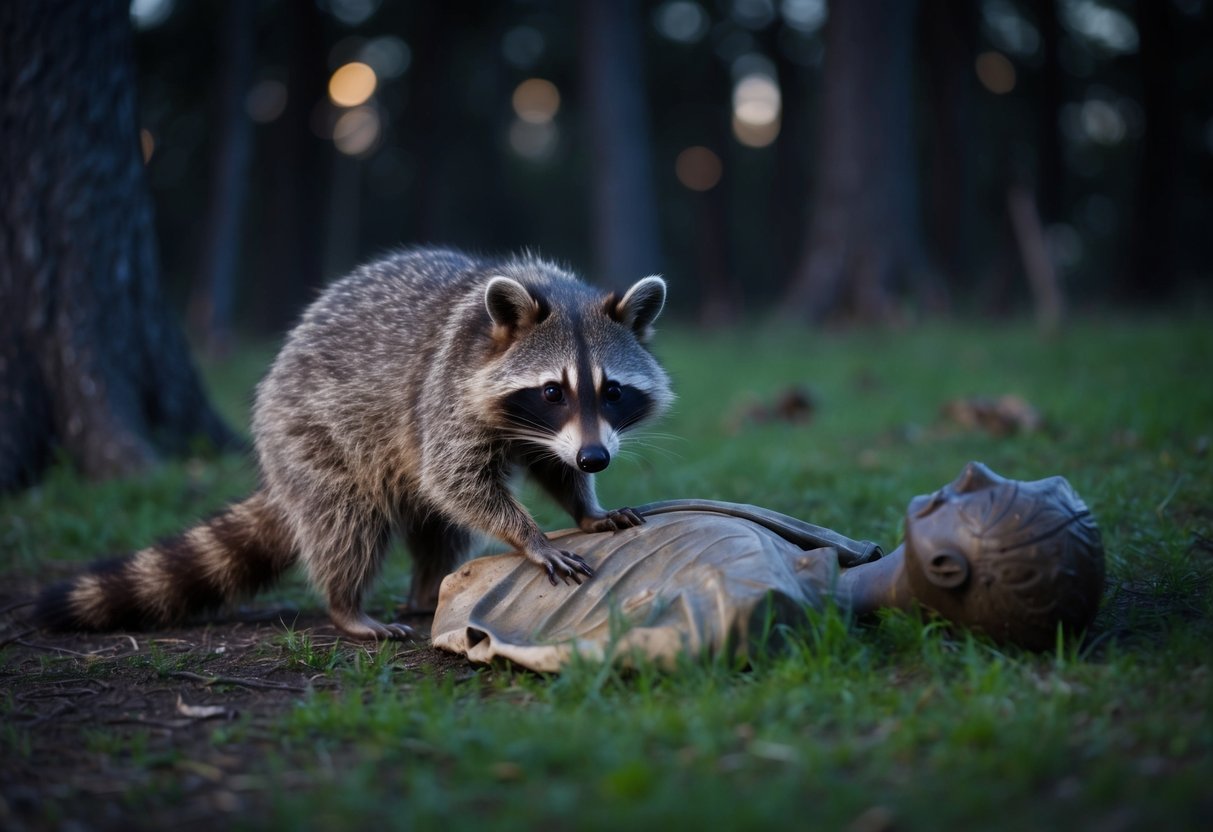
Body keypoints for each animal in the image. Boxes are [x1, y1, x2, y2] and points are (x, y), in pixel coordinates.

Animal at [33, 248, 673, 640]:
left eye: (613, 391)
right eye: (552, 391)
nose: (597, 458)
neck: (553, 292)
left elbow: (547, 466)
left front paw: (585, 506)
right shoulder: (445, 392)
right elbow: (456, 477)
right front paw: (530, 535)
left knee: (438, 530)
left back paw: (427, 591)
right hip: (309, 432)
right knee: (346, 522)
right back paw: (347, 605)